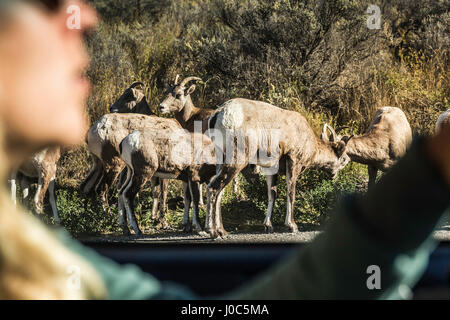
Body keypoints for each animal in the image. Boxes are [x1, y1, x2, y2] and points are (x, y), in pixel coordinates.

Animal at [205, 99, 352, 238]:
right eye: (344, 159)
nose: (334, 176)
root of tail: (218, 114)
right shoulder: (293, 161)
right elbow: (291, 192)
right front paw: (292, 225)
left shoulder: (271, 169)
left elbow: (272, 194)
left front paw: (268, 226)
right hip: (237, 157)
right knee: (214, 187)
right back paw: (212, 232)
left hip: (221, 157)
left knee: (220, 192)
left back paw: (222, 231)